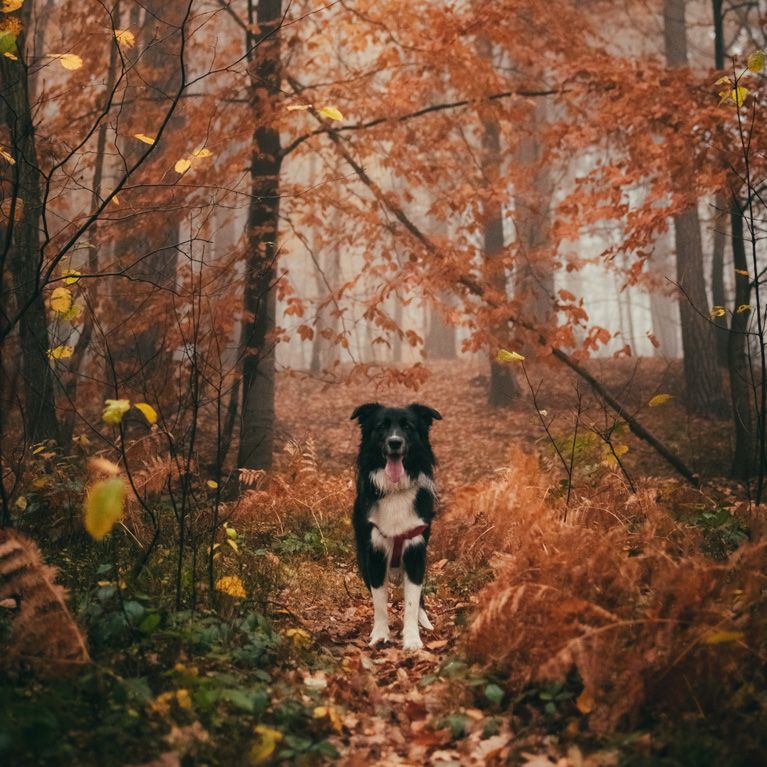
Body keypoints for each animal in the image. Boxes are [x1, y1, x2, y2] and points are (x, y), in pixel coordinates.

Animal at [350, 402, 440, 648]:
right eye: (381, 426)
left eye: (408, 427)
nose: (395, 442)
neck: (395, 490)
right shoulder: (374, 553)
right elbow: (380, 602)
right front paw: (380, 635)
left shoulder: (416, 551)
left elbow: (411, 603)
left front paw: (412, 639)